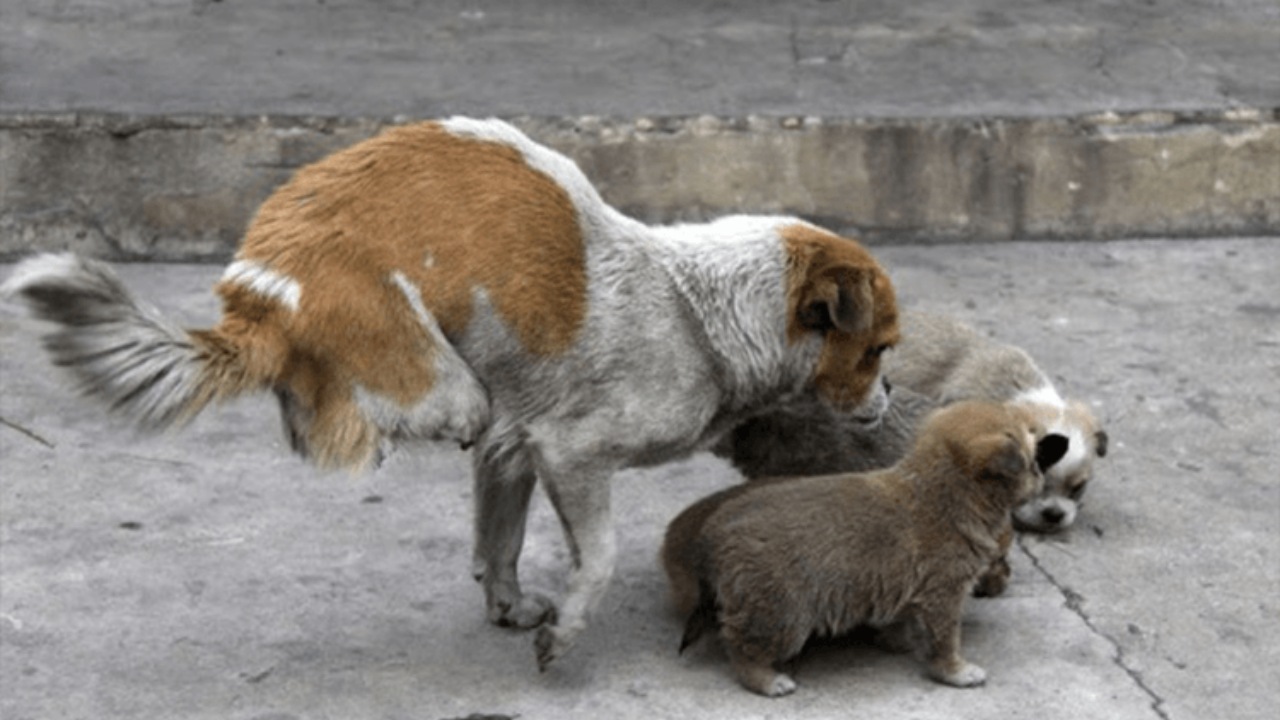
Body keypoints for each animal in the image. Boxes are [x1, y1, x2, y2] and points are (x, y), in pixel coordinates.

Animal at [0, 117, 901, 666]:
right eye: (879, 350)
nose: (891, 396)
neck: (696, 312)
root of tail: (261, 296)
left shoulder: (516, 447)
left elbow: (498, 541)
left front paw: (509, 607)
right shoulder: (570, 452)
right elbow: (601, 555)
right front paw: (567, 630)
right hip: (429, 374)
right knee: (406, 411)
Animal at [665, 399, 1064, 691]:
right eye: (1033, 463)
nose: (1041, 476)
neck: (946, 490)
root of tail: (711, 534)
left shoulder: (911, 589)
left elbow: (904, 620)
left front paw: (897, 641)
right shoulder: (944, 595)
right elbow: (945, 640)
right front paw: (955, 671)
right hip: (782, 613)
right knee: (740, 645)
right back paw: (766, 680)